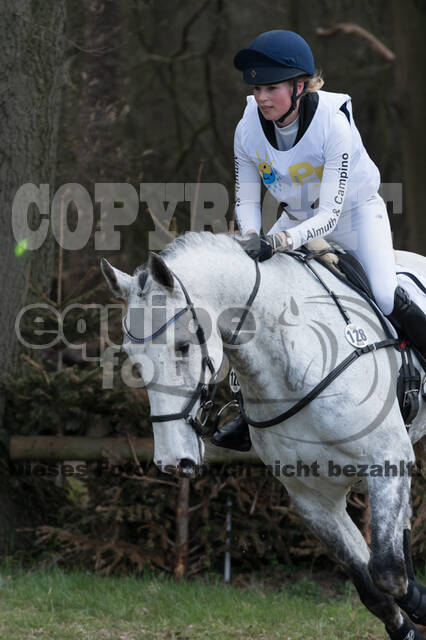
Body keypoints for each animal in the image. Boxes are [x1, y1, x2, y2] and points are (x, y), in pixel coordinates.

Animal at [102, 234, 426, 640]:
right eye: (132, 356)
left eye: (183, 346)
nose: (174, 460)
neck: (295, 359)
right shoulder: (313, 498)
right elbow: (372, 586)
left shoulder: (388, 460)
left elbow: (388, 572)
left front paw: (419, 604)